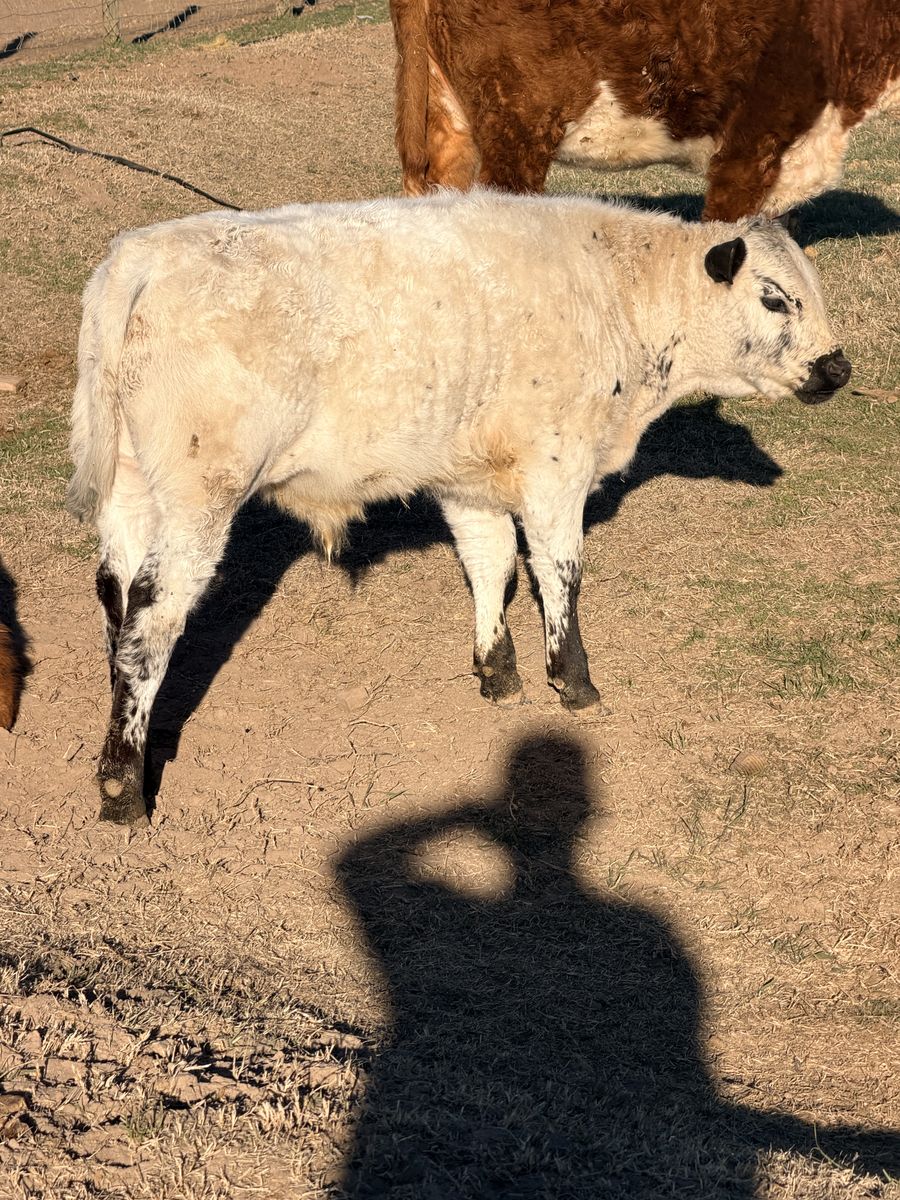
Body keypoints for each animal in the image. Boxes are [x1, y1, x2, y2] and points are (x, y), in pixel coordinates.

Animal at [67, 192, 850, 825]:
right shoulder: (557, 467)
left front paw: (497, 670)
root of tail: (142, 255)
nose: (837, 368)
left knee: (116, 599)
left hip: (130, 488)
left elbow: (489, 563)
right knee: (152, 615)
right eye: (775, 297)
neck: (614, 294)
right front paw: (572, 680)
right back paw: (122, 787)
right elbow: (558, 573)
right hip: (200, 497)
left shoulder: (469, 479)